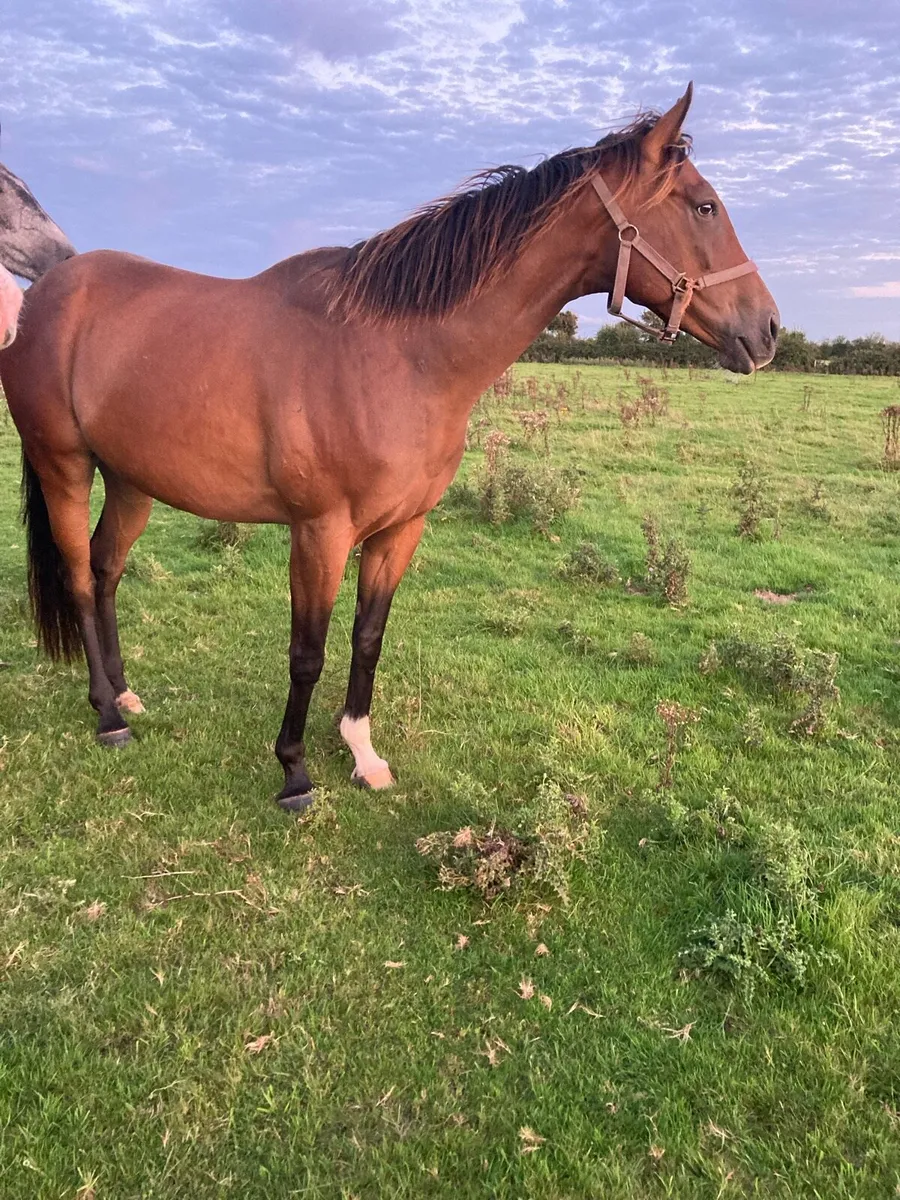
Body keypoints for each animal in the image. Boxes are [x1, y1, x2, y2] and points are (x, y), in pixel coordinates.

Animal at [0, 85, 779, 811]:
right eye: (704, 207)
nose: (768, 329)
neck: (401, 356)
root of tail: (48, 292)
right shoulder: (320, 532)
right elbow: (307, 651)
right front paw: (294, 771)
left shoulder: (401, 529)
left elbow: (367, 636)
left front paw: (361, 751)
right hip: (65, 465)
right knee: (78, 577)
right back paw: (108, 716)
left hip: (132, 479)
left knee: (106, 571)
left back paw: (126, 694)